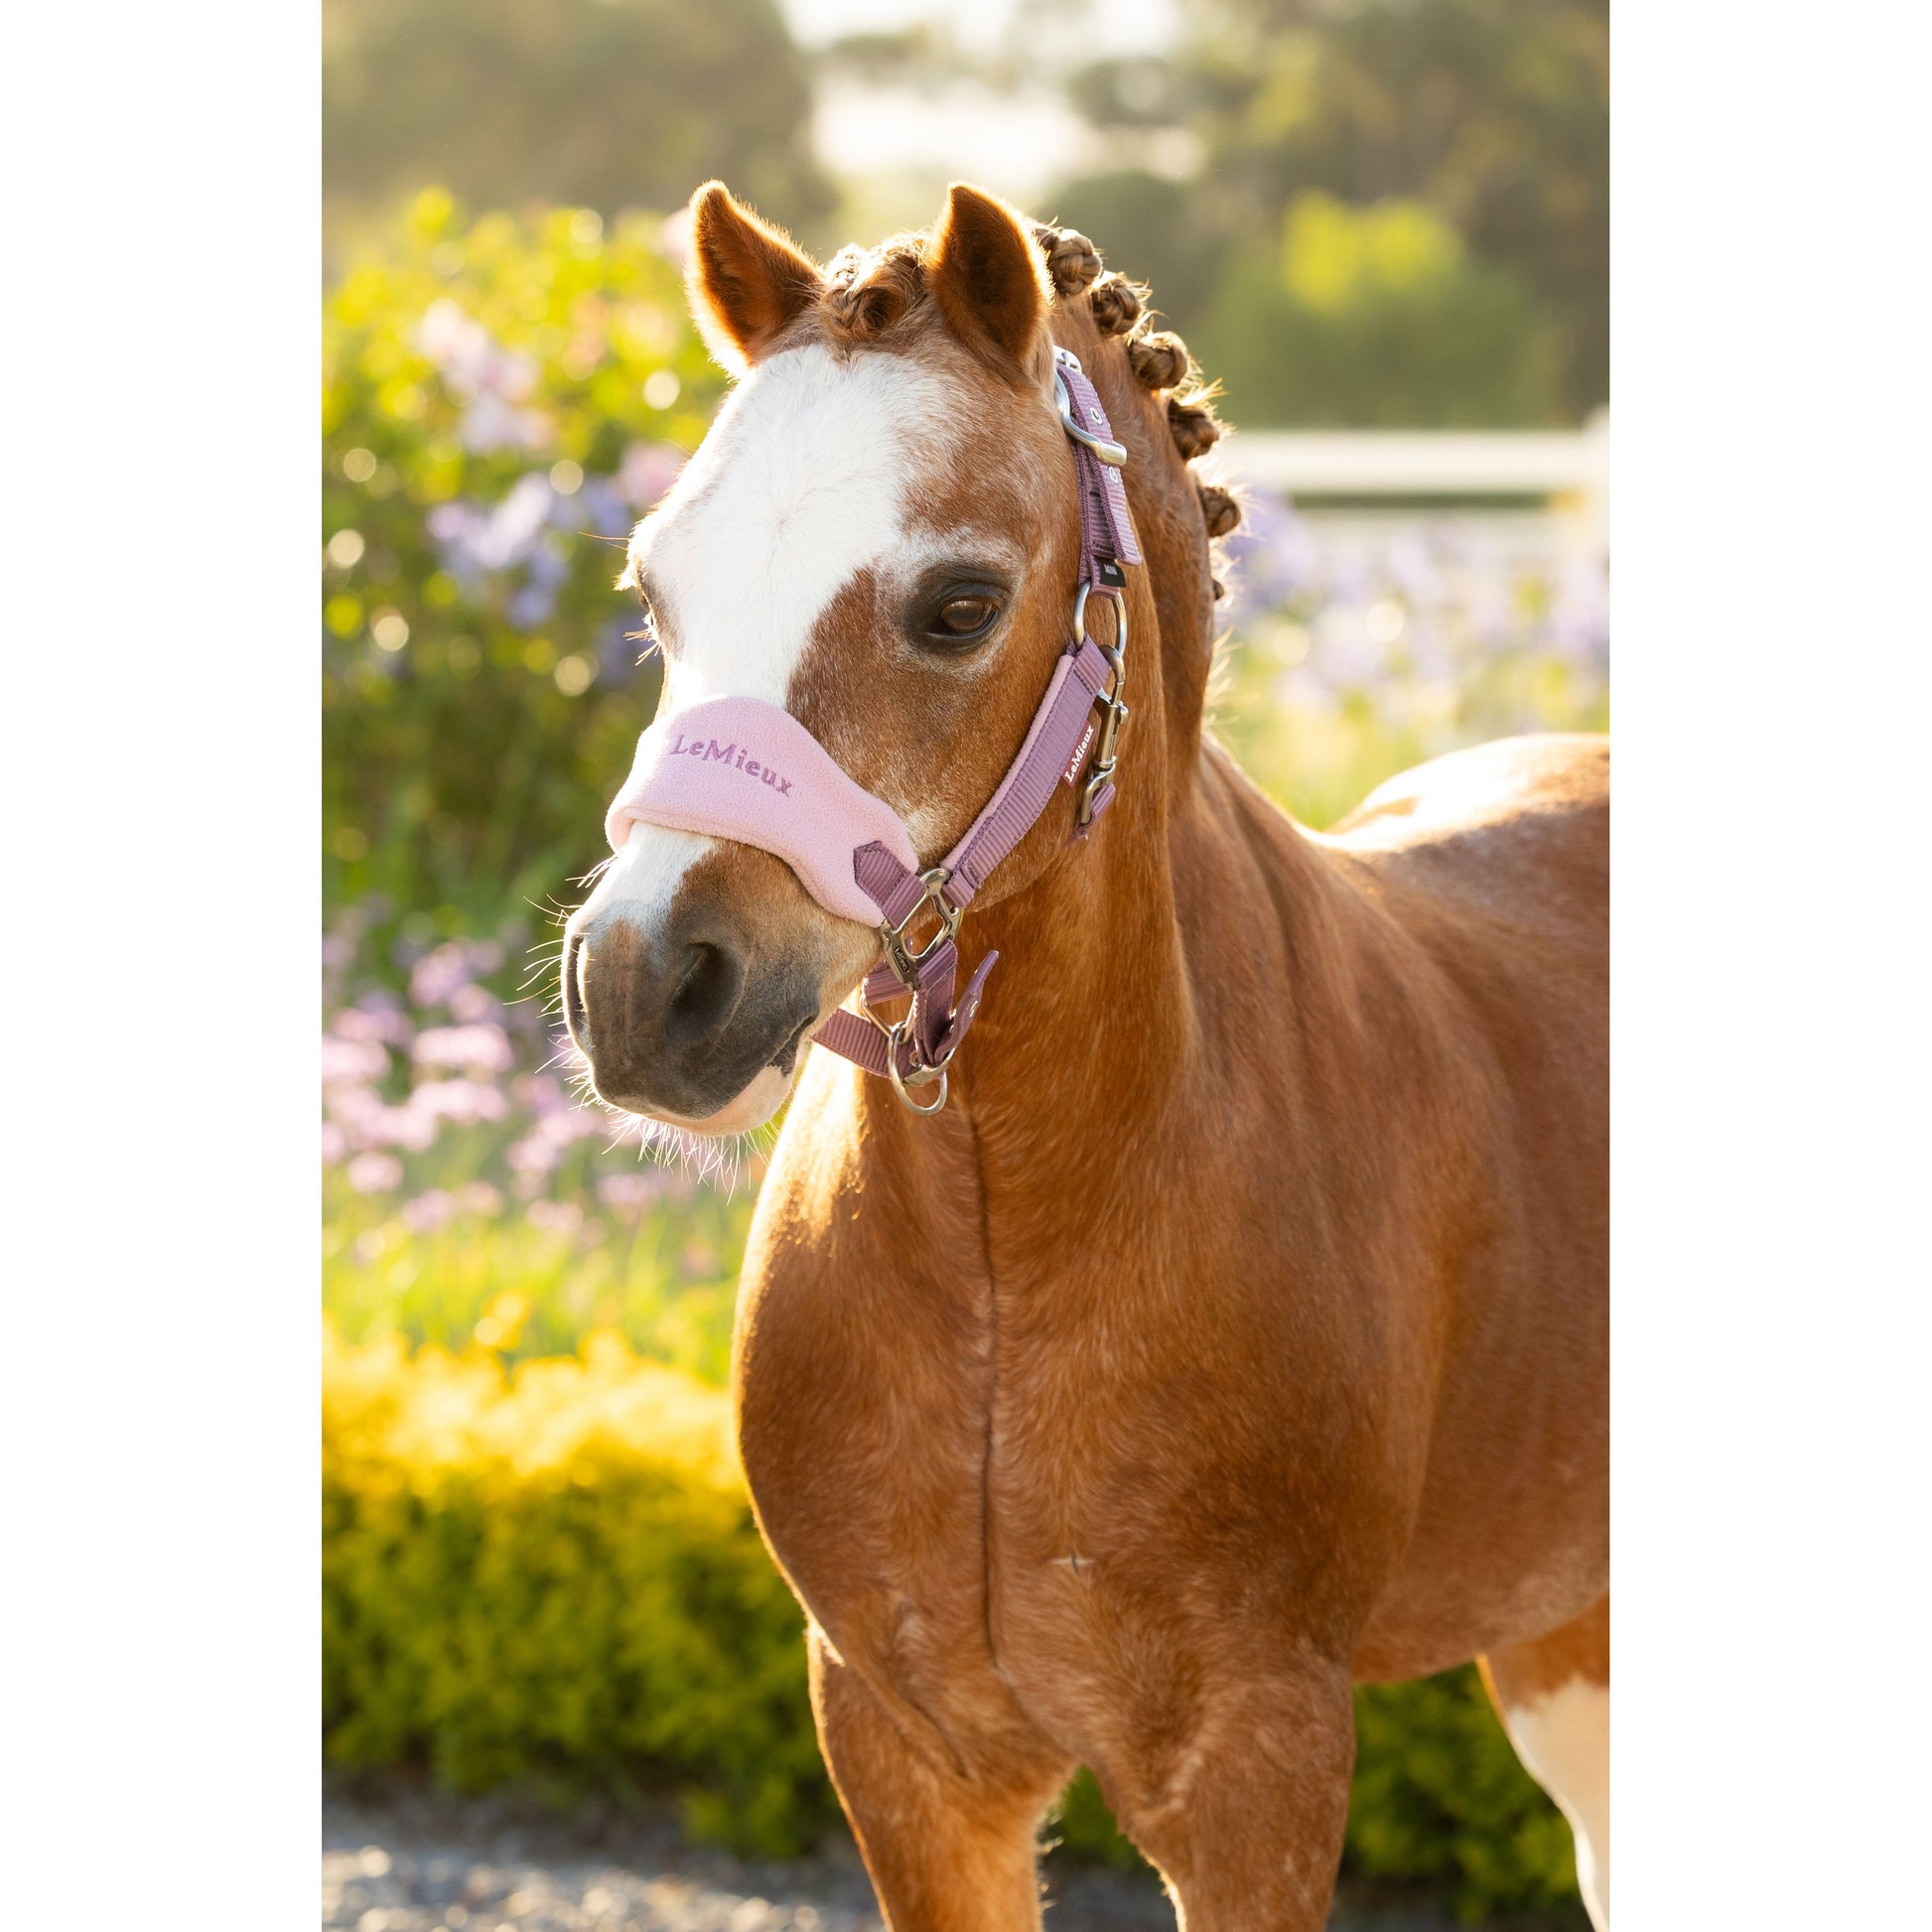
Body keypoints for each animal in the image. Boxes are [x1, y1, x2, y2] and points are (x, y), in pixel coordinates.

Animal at [561, 179, 1608, 1931]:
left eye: (958, 603)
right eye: (655, 590)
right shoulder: (910, 1751)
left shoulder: (1256, 1772)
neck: (1020, 1231)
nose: (644, 983)